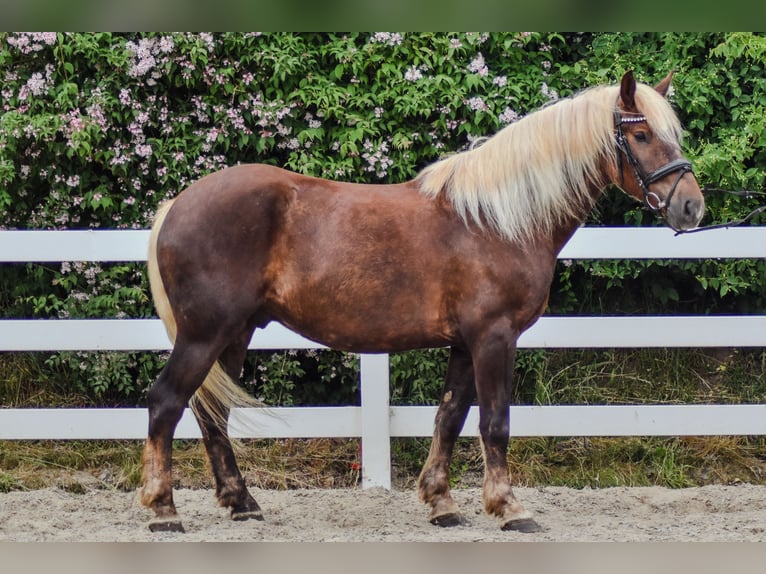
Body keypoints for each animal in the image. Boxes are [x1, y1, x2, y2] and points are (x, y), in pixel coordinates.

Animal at [140, 71, 704, 533]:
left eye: (672, 134)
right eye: (640, 135)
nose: (691, 206)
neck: (497, 221)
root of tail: (176, 205)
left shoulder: (465, 343)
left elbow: (450, 417)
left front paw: (441, 503)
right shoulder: (494, 336)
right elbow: (495, 421)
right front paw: (509, 507)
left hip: (233, 336)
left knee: (212, 414)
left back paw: (241, 503)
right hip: (204, 334)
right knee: (166, 402)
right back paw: (164, 510)